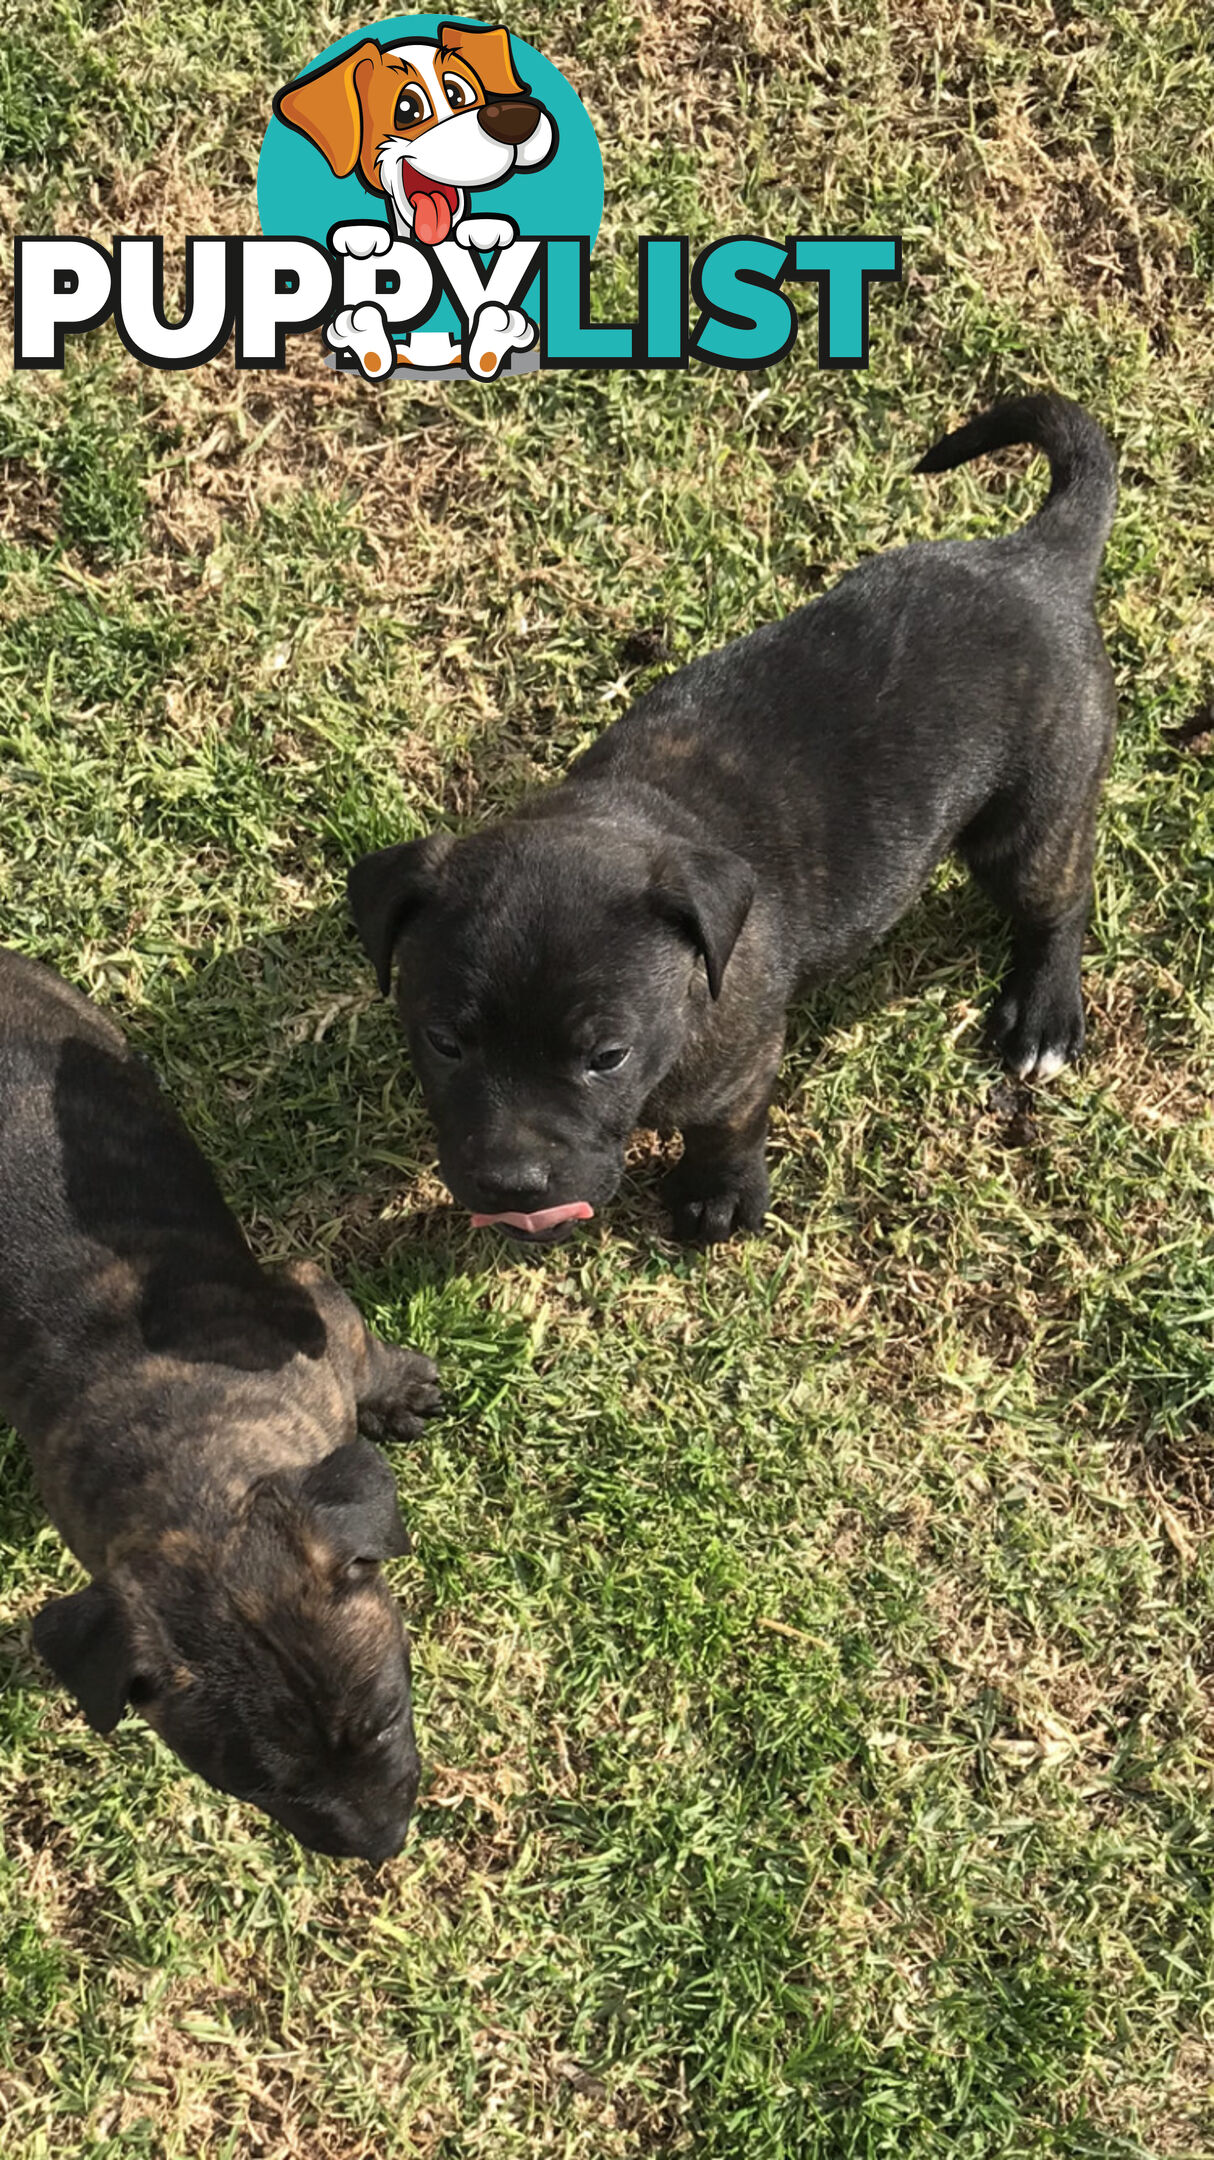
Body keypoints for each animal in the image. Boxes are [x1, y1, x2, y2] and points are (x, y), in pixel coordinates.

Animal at [3, 946, 438, 1857]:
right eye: (258, 1787)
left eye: (386, 1719)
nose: (381, 1846)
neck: (192, 1468)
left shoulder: (316, 1303)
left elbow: (365, 1357)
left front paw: (398, 1391)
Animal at [345, 401, 1114, 1252]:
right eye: (444, 1044)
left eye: (607, 1056)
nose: (513, 1186)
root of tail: (1034, 560)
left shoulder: (740, 1066)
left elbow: (726, 1128)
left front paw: (717, 1195)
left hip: (1033, 815)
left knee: (1057, 898)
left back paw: (1043, 1016)